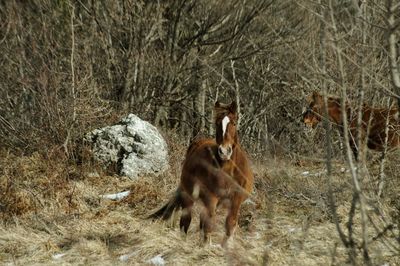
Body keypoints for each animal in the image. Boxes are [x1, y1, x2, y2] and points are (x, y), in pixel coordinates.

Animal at [148, 101, 255, 246]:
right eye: (217, 123)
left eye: (233, 123)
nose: (224, 151)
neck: (228, 171)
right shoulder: (211, 198)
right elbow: (208, 225)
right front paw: (205, 247)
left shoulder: (236, 200)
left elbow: (230, 224)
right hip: (189, 196)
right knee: (186, 221)